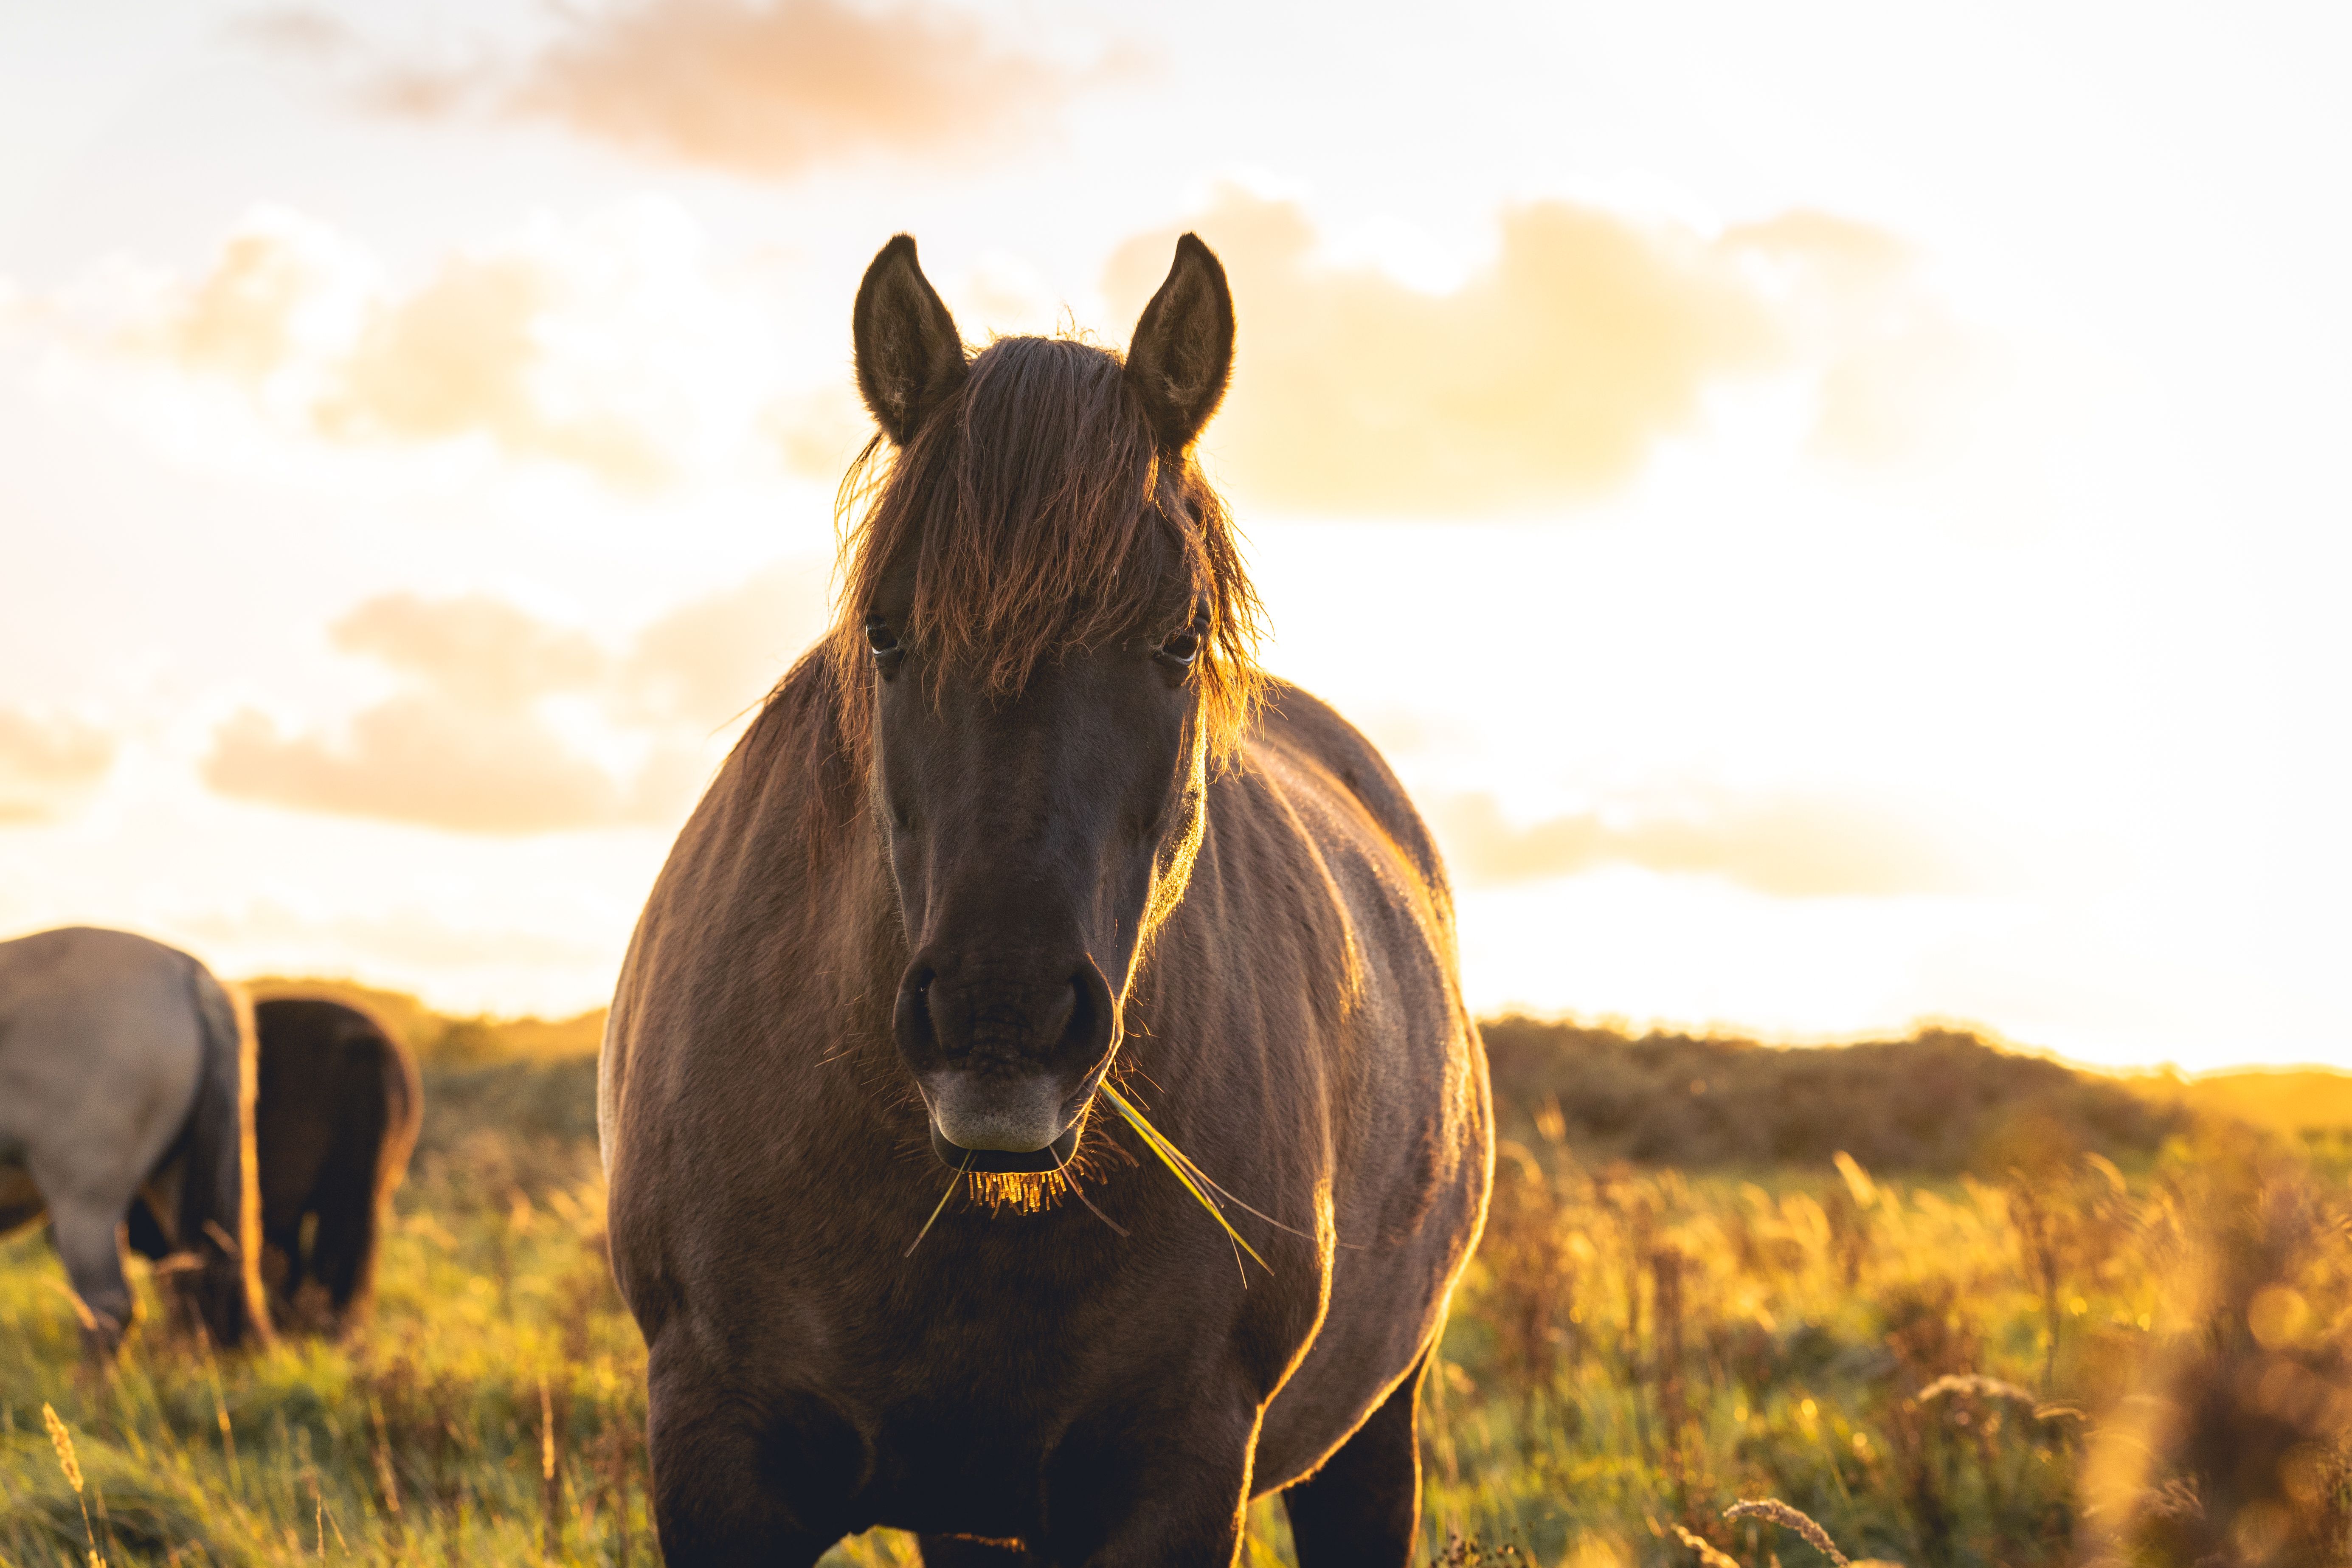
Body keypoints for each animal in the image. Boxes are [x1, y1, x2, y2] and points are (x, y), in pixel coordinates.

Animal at [599, 233, 1493, 1567]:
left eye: (1178, 639)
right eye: (886, 631)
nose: (999, 1022)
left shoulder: (1180, 1470)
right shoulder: (718, 1457)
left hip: (1376, 1425)